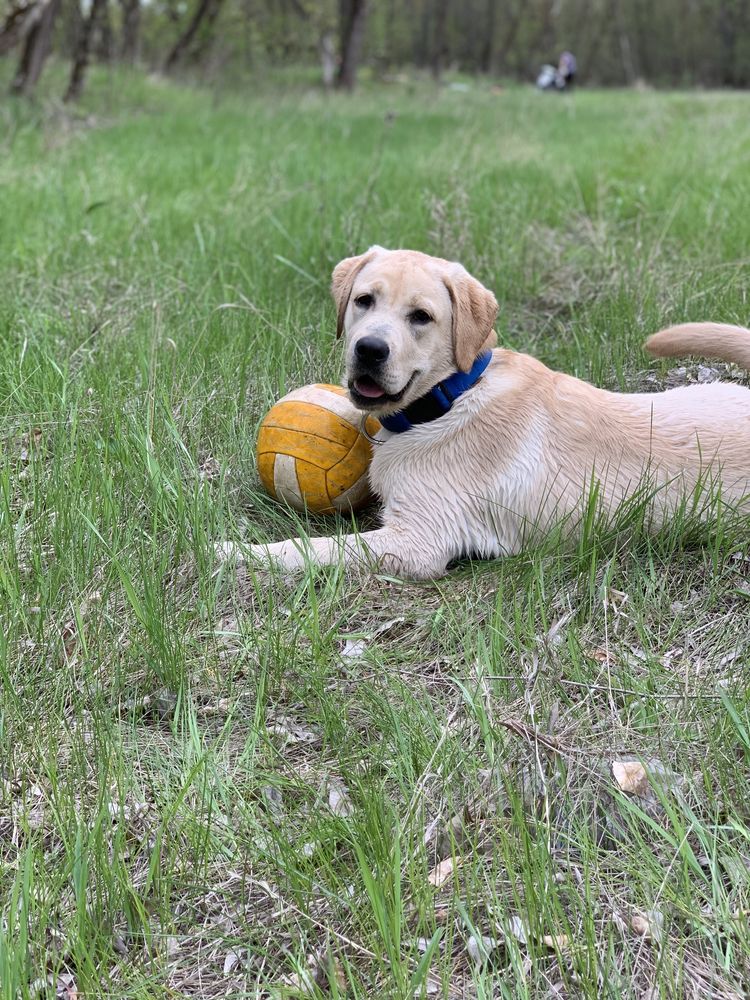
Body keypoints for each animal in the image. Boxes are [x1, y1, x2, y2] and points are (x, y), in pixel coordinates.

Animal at [220, 244, 750, 580]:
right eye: (363, 301)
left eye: (421, 317)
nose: (369, 350)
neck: (450, 397)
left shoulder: (417, 542)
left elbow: (309, 548)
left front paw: (231, 551)